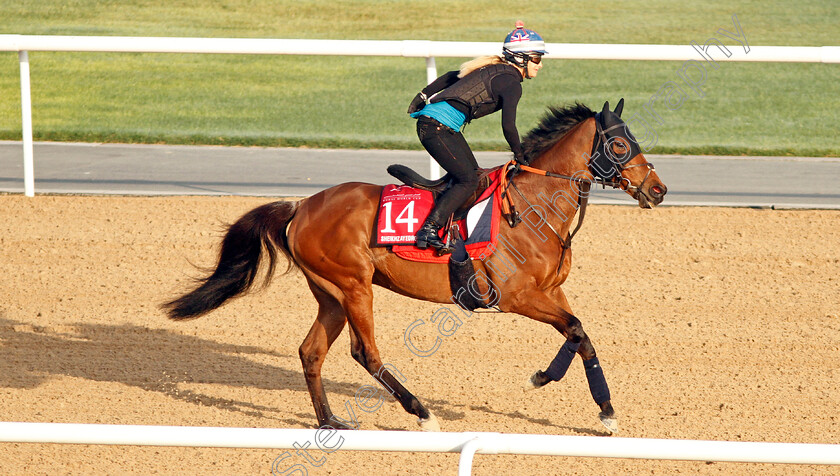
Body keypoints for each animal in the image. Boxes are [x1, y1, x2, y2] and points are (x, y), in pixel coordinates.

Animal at [161, 98, 668, 434]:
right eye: (619, 145)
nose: (659, 190)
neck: (534, 205)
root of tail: (301, 205)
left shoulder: (550, 291)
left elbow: (579, 333)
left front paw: (592, 402)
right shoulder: (517, 296)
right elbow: (577, 329)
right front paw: (575, 395)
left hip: (331, 294)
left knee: (311, 352)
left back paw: (331, 420)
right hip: (355, 287)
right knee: (364, 353)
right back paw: (421, 412)